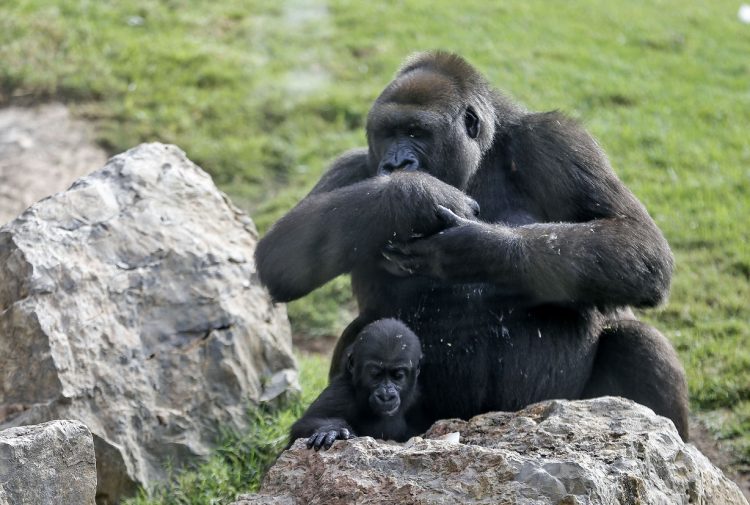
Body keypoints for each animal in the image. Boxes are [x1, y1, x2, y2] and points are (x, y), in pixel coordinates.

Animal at [290, 318, 424, 448]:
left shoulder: (418, 399)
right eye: (374, 375)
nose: (386, 395)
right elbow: (302, 426)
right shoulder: (340, 393)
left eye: (398, 376)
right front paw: (332, 429)